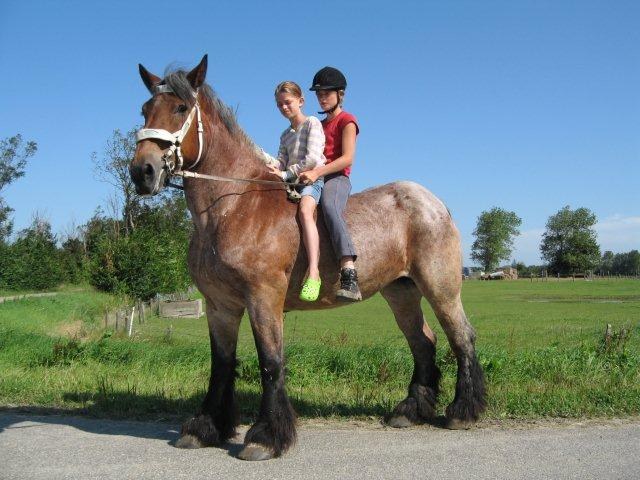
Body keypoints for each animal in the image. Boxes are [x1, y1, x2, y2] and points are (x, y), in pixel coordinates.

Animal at [130, 55, 486, 461]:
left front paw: (265, 437)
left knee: (462, 338)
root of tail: (434, 202)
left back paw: (462, 411)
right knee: (423, 342)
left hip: (441, 288)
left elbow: (271, 363)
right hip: (401, 292)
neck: (232, 206)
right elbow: (221, 365)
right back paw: (409, 411)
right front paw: (204, 428)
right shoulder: (220, 306)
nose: (142, 171)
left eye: (180, 108)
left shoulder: (263, 298)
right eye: (145, 109)